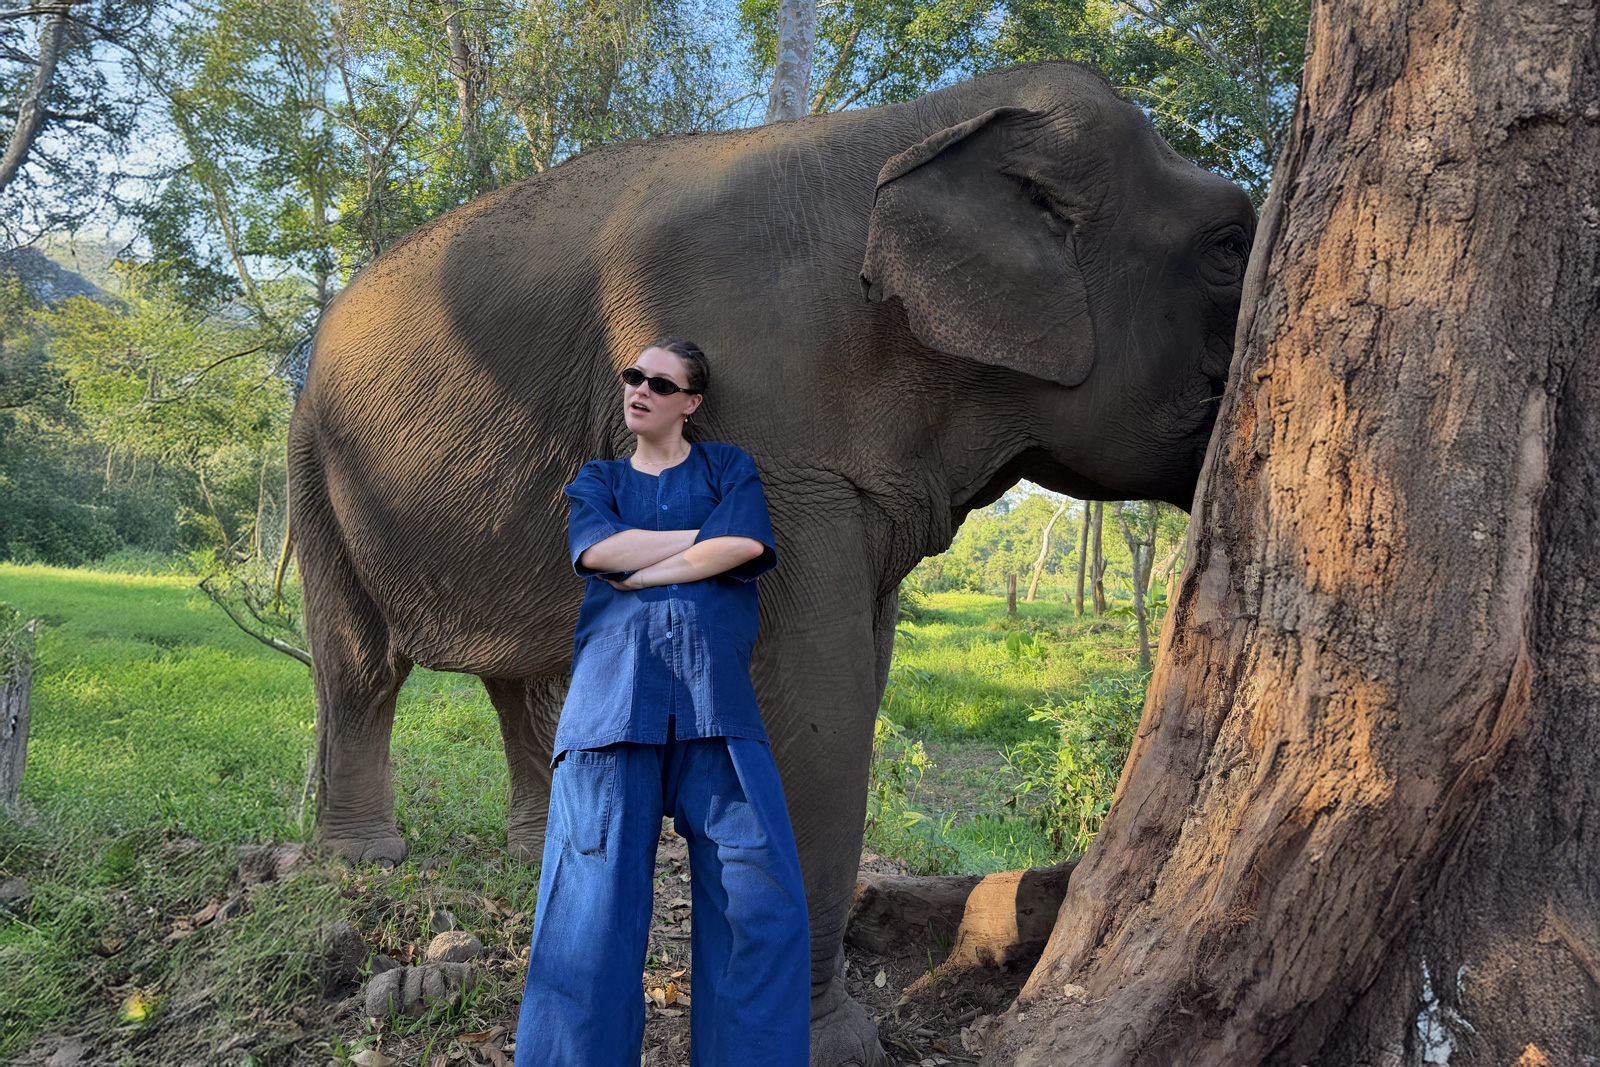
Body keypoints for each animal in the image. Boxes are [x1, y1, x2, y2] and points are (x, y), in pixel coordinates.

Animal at [287, 59, 1254, 1067]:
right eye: (1230, 245)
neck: (924, 124)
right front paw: (829, 1045)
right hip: (315, 465)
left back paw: (529, 850)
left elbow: (856, 675)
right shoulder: (766, 422)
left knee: (523, 682)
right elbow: (813, 698)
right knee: (359, 667)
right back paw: (361, 856)